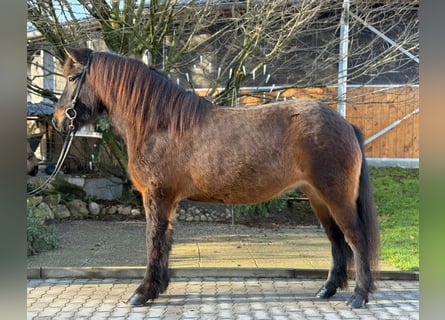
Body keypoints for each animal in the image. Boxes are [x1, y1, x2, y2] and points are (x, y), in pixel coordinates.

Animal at [52, 47, 378, 308]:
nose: (57, 120)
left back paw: (359, 296)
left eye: (72, 79)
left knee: (356, 239)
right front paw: (158, 287)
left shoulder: (156, 196)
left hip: (336, 198)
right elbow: (165, 241)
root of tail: (345, 124)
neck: (160, 125)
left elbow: (153, 240)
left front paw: (142, 293)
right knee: (336, 240)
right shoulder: (168, 200)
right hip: (318, 198)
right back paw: (327, 290)